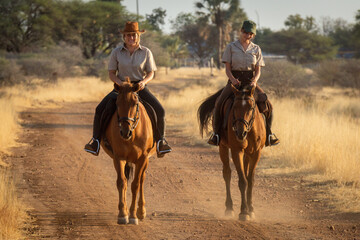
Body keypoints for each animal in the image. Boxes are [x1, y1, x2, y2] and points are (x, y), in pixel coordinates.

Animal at [102, 78, 157, 224]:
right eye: (117, 103)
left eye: (134, 103)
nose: (124, 132)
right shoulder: (118, 157)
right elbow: (122, 182)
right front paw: (123, 214)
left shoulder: (142, 158)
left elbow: (136, 184)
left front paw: (133, 215)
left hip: (145, 160)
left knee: (142, 179)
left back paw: (141, 211)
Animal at [198, 83, 266, 220]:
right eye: (234, 107)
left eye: (251, 108)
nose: (240, 133)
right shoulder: (236, 151)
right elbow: (242, 181)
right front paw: (244, 212)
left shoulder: (256, 153)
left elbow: (250, 180)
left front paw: (250, 209)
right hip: (223, 147)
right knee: (227, 174)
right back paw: (229, 208)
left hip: (247, 153)